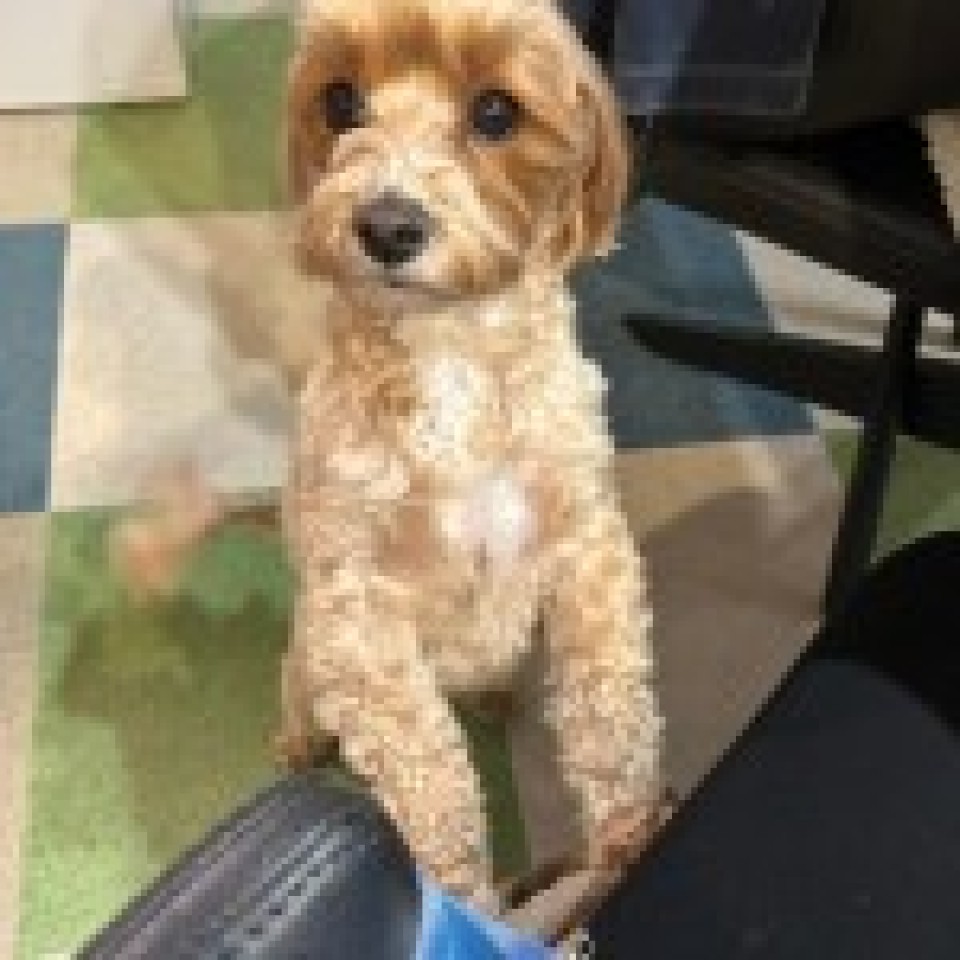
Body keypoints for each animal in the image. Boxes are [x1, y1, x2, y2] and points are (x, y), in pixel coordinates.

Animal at [116, 0, 665, 916]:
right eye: (340, 101)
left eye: (496, 112)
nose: (387, 226)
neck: (449, 352)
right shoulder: (358, 613)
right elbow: (429, 776)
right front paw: (466, 899)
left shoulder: (585, 542)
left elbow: (609, 699)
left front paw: (628, 826)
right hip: (308, 658)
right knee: (299, 689)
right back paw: (299, 743)